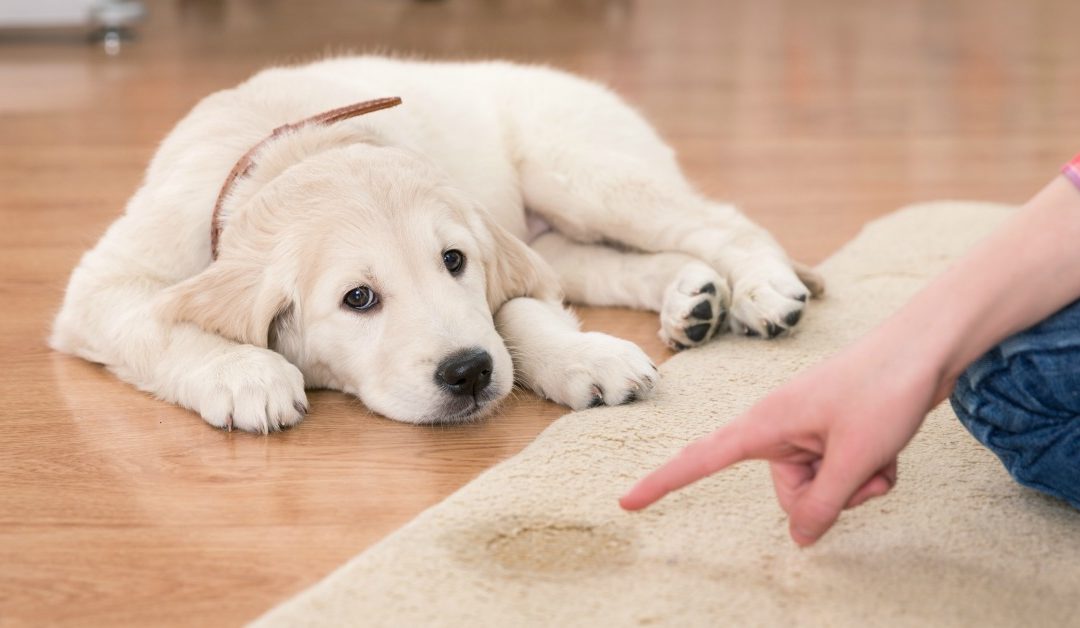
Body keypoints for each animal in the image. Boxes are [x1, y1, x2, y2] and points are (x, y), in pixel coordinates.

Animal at [50, 56, 820, 430]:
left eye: (454, 262)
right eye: (358, 299)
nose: (469, 373)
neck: (292, 148)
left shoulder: (498, 253)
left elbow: (516, 312)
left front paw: (582, 356)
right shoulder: (104, 286)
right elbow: (156, 322)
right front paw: (245, 375)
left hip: (581, 172)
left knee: (722, 222)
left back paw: (762, 291)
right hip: (561, 230)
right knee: (613, 264)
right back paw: (693, 298)